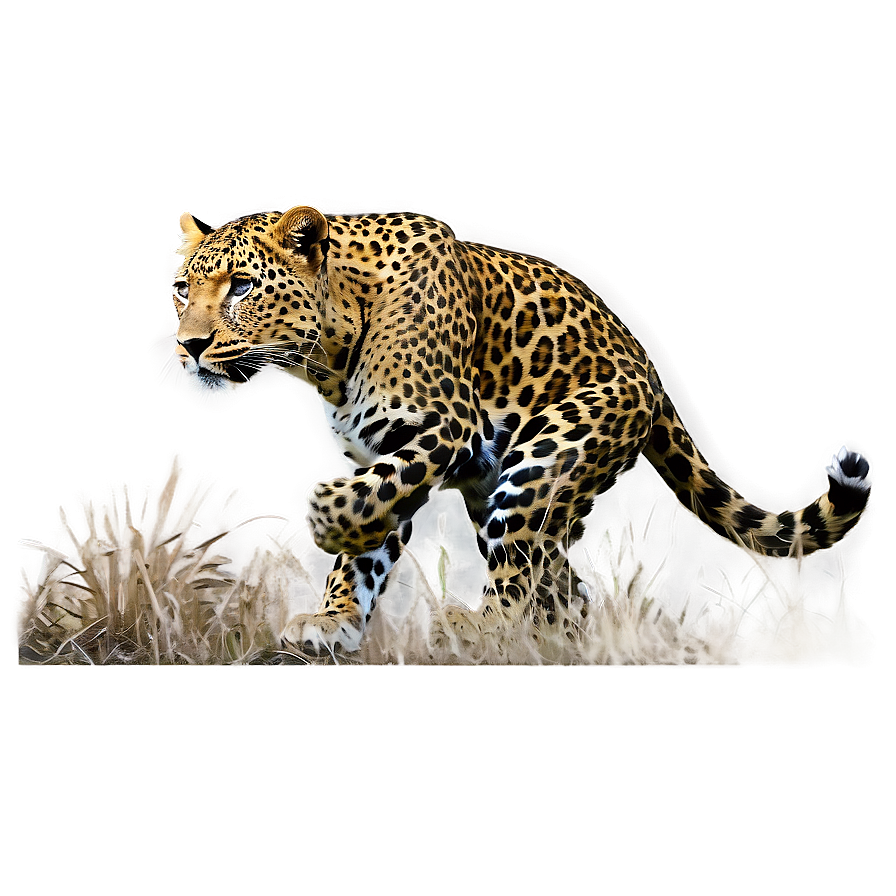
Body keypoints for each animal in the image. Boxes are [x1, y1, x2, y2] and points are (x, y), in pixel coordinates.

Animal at [171, 205, 871, 656]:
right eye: (182, 288)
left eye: (240, 286)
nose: (189, 345)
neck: (330, 355)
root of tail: (646, 366)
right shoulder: (385, 452)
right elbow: (365, 549)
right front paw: (332, 622)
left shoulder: (442, 429)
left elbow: (368, 501)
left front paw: (325, 518)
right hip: (506, 498)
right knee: (565, 592)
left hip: (543, 463)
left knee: (523, 578)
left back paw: (481, 631)